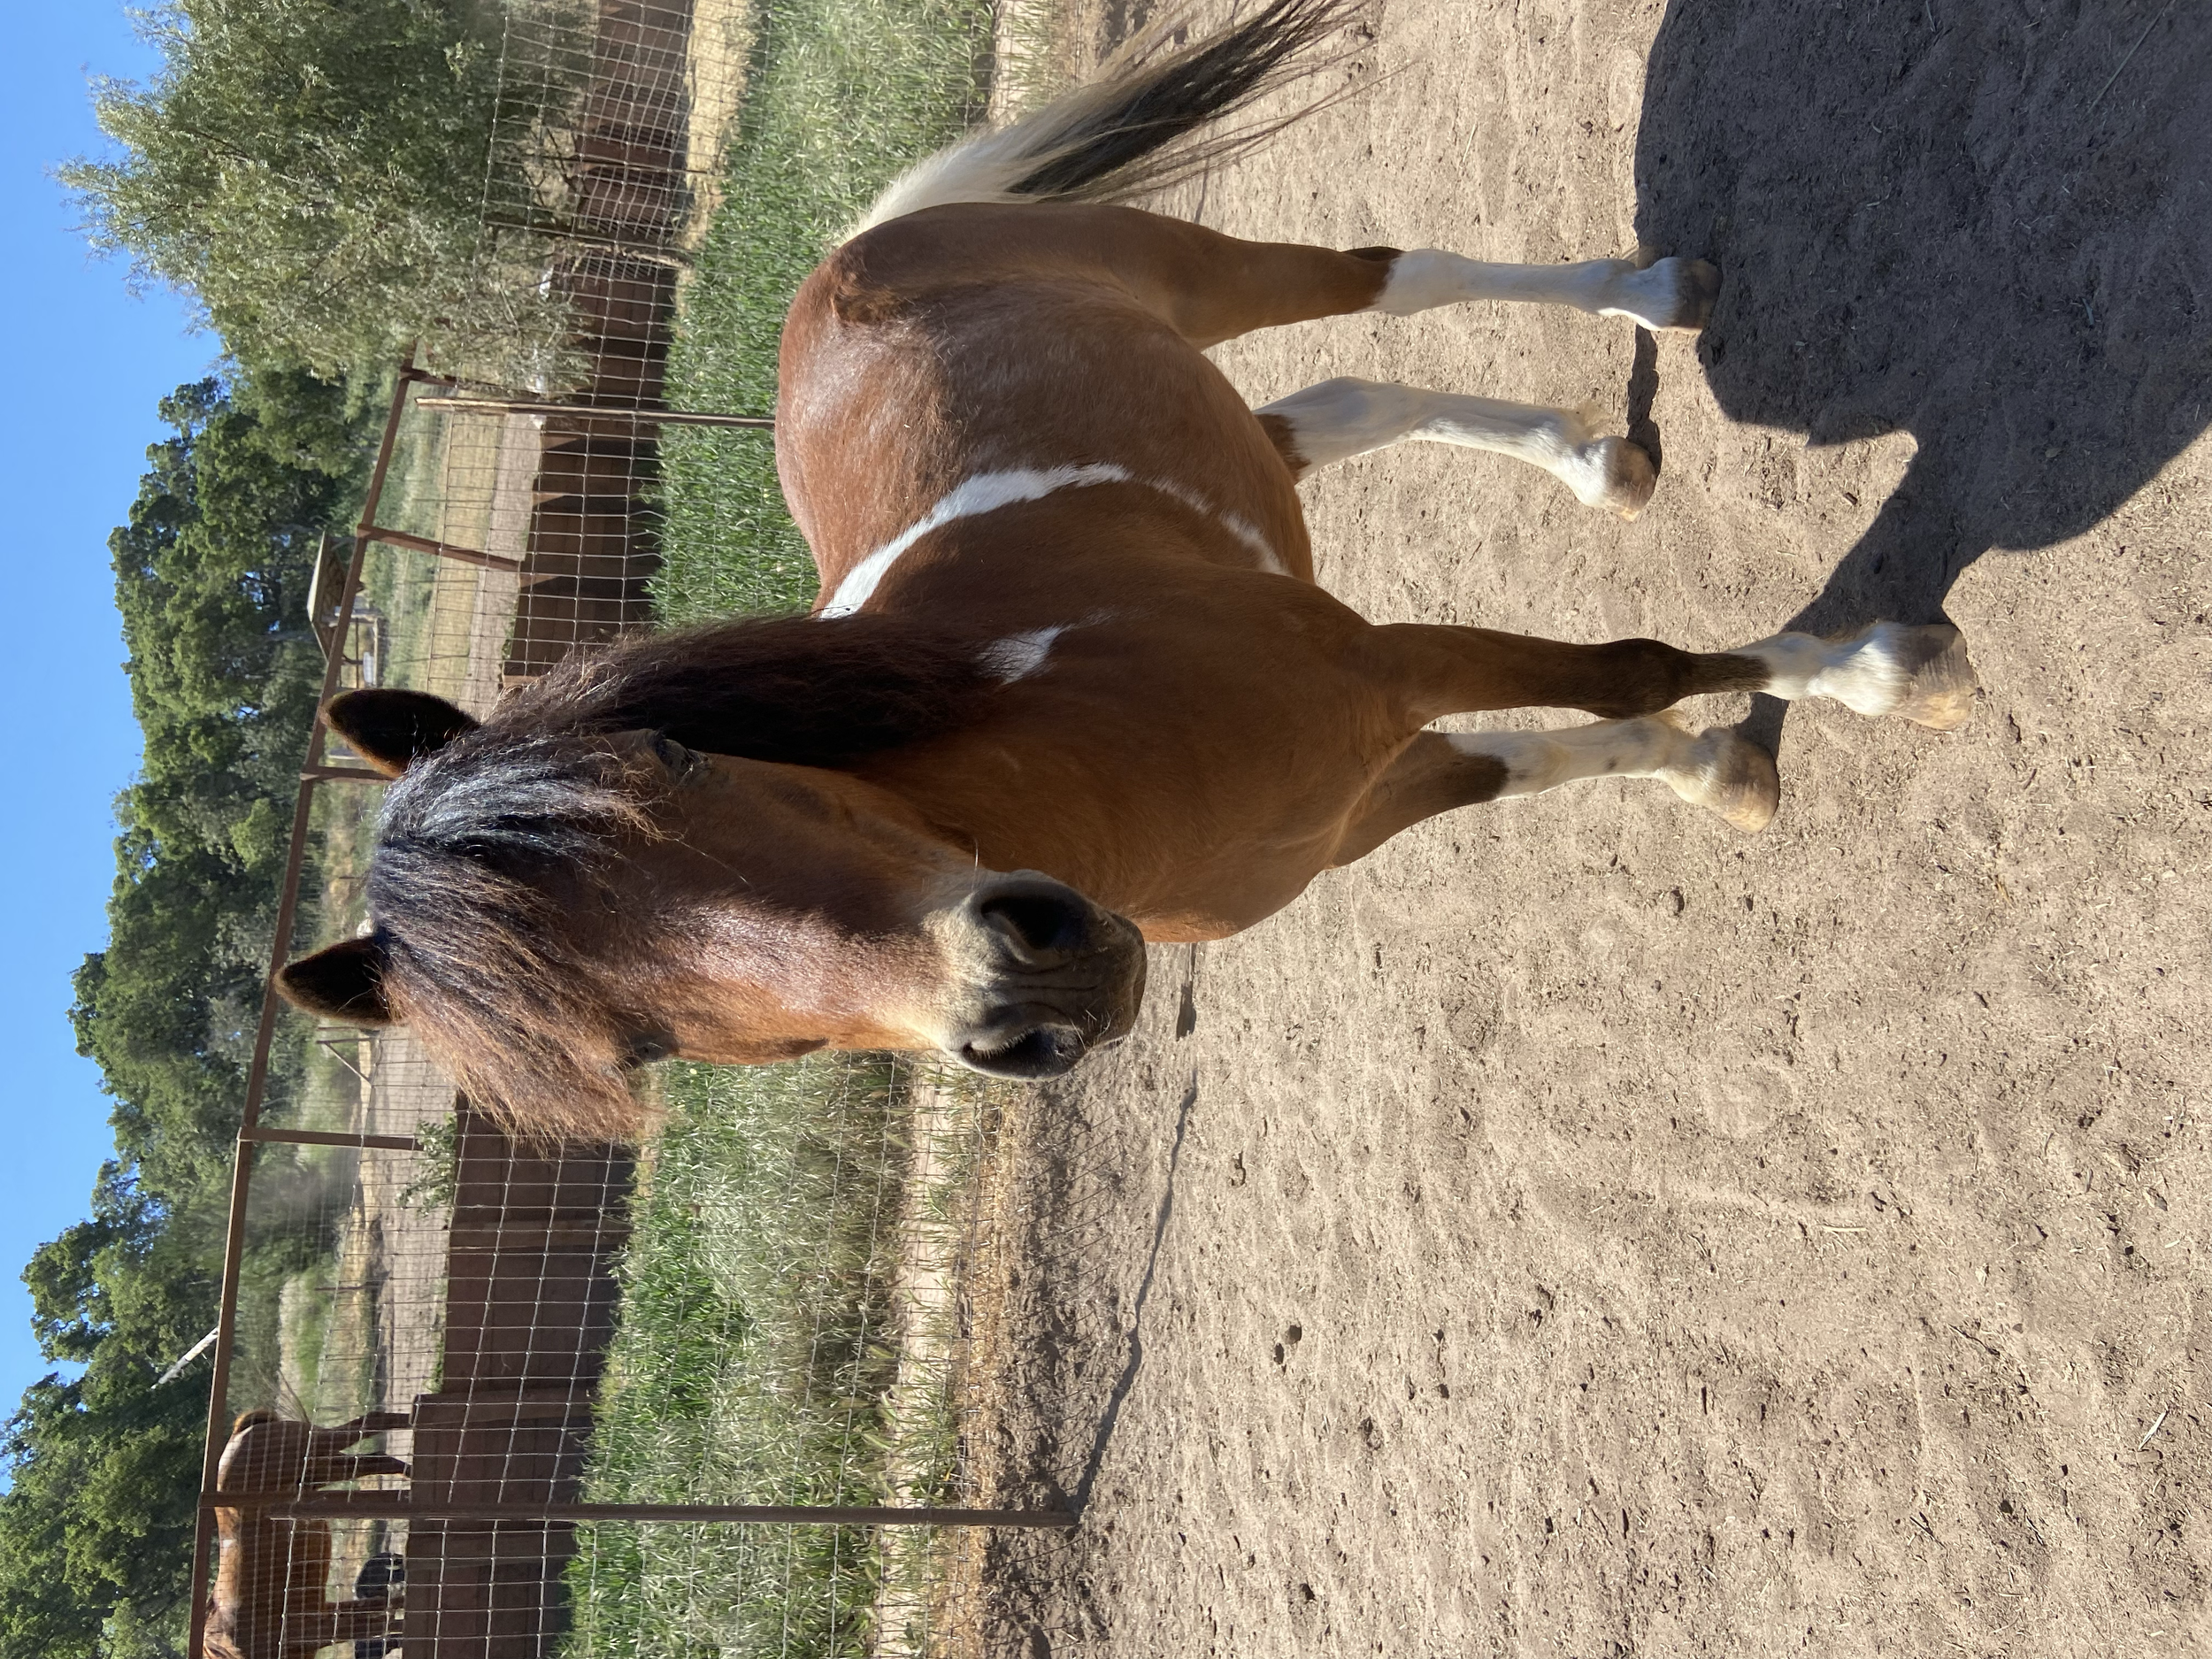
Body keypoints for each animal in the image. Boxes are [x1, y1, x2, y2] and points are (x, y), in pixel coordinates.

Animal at [205, 1410, 410, 1659]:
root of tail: (238, 1434)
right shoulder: (324, 1617)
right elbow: (387, 1613)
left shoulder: (319, 1627)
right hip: (318, 1468)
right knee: (377, 1458)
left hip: (312, 1447)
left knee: (374, 1421)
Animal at [276, 0, 1975, 1138]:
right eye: (637, 1053)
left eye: (681, 760)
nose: (1023, 1002)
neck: (1096, 759)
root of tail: (840, 265)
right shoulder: (1383, 784)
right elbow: (1568, 744)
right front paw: (1715, 771)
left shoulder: (1388, 664)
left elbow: (1629, 665)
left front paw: (1884, 674)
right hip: (1231, 426)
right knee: (1347, 402)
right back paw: (1594, 461)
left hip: (1205, 271)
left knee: (1392, 275)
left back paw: (1655, 290)